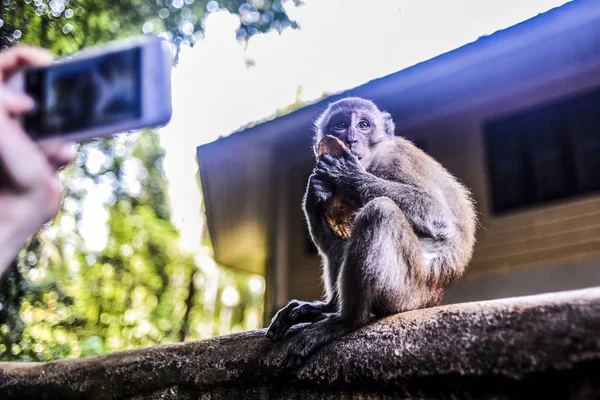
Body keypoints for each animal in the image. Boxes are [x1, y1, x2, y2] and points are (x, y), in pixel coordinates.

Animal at [268, 96, 478, 366]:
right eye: (341, 124)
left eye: (363, 125)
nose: (350, 138)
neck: (372, 161)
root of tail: (433, 298)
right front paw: (314, 194)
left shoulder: (398, 160)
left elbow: (438, 216)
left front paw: (348, 174)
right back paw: (329, 308)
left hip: (406, 291)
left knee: (380, 211)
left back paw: (347, 320)